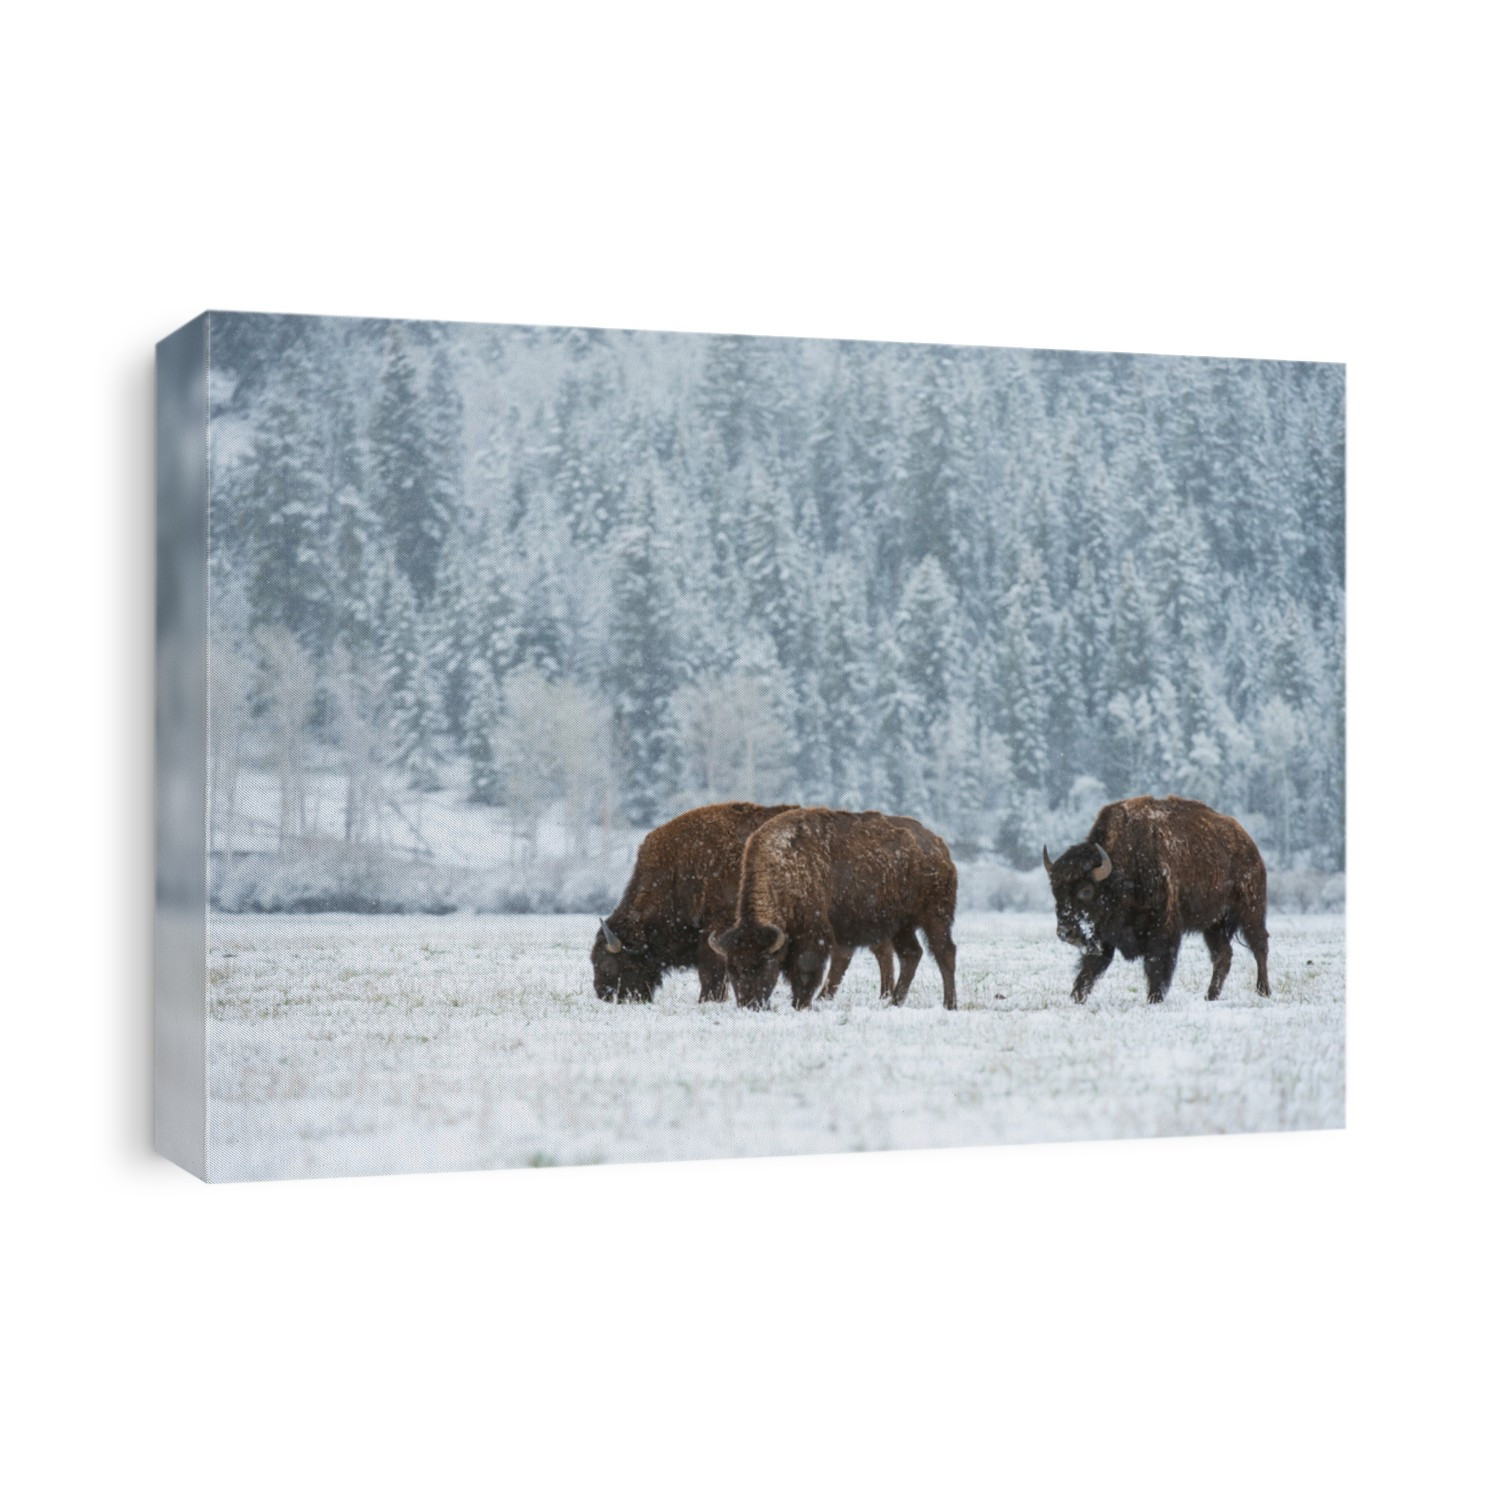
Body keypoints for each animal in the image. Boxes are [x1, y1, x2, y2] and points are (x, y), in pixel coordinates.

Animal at [592, 802, 895, 1003]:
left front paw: (708, 1000)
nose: (603, 993)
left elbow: (711, 971)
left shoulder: (715, 930)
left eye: (608, 961)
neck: (679, 872)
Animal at [710, 808, 958, 1011]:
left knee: (945, 952)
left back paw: (949, 1004)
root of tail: (939, 847)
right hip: (901, 926)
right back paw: (895, 1003)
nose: (749, 1004)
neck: (787, 867)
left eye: (763, 964)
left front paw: (801, 1004)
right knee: (911, 954)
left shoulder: (813, 936)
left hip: (935, 916)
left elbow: (806, 970)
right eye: (732, 968)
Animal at [1044, 795, 1271, 1004]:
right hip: (1214, 924)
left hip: (1250, 912)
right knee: (1223, 954)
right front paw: (1075, 998)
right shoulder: (1104, 936)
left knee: (1259, 946)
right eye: (1055, 892)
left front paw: (1154, 999)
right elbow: (1089, 969)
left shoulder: (1162, 929)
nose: (1065, 932)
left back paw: (1263, 991)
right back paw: (1210, 996)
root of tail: (1249, 845)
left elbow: (1156, 965)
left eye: (1086, 890)